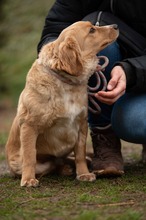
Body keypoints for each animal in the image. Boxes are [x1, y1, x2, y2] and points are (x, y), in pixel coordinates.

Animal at [5, 20, 119, 186]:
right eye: (92, 30)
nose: (116, 26)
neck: (66, 84)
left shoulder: (81, 123)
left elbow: (80, 154)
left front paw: (83, 173)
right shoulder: (29, 125)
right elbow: (29, 156)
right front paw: (28, 179)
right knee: (51, 165)